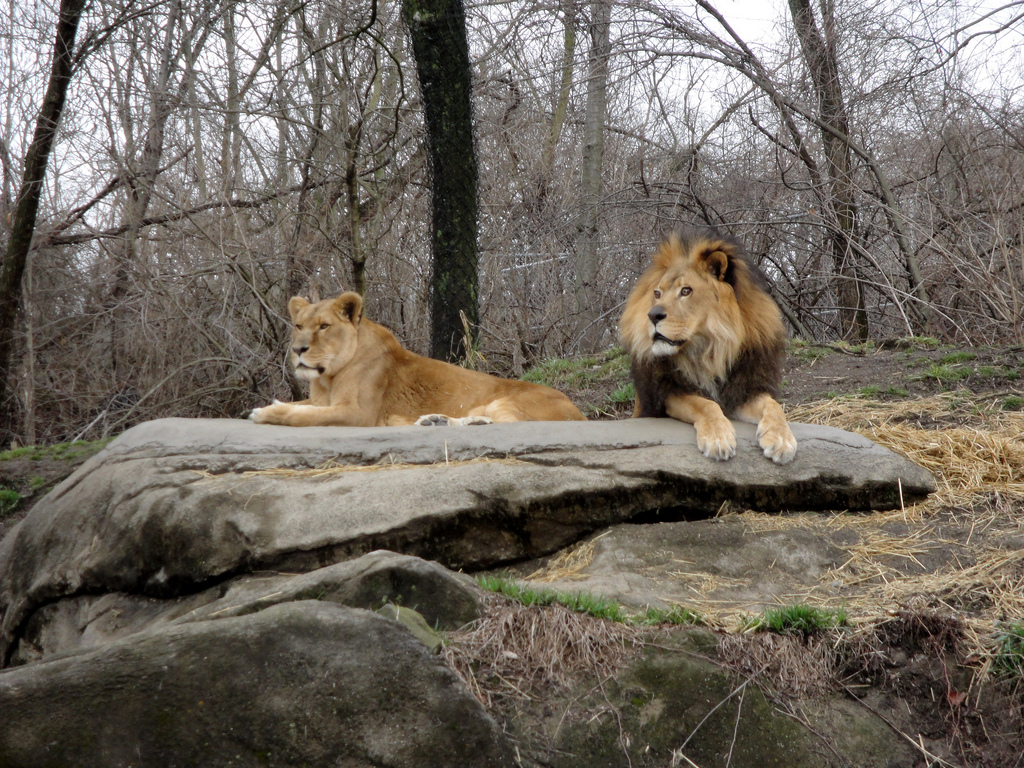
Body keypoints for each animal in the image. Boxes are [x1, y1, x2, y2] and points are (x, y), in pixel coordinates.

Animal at [250, 291, 586, 427]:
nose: (298, 350)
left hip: (508, 400)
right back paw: (435, 421)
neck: (327, 377)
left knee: (510, 425)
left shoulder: (358, 414)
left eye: (323, 326)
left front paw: (268, 413)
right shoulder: (322, 401)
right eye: (298, 326)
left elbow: (304, 415)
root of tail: (579, 412)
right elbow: (302, 407)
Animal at [618, 231, 797, 464]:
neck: (709, 350)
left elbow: (773, 405)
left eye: (686, 291)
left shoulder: (743, 391)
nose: (653, 314)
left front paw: (781, 439)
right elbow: (705, 404)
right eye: (657, 294)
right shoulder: (668, 395)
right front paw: (718, 438)